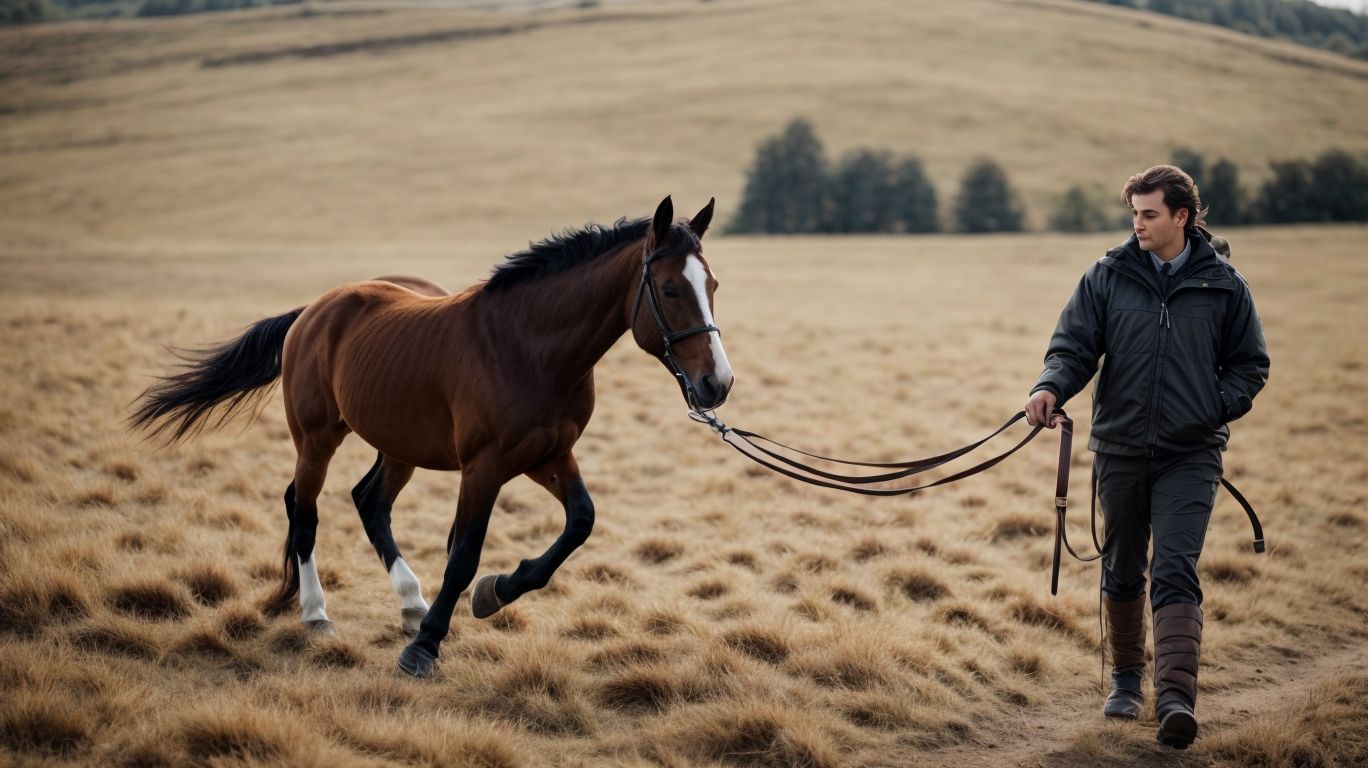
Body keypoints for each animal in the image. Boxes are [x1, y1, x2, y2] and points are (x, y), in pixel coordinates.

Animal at [130, 196, 733, 678]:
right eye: (670, 288)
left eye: (713, 285)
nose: (717, 383)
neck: (528, 347)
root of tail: (315, 311)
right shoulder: (485, 465)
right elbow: (463, 552)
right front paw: (425, 648)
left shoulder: (549, 454)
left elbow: (579, 523)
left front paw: (494, 592)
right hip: (318, 438)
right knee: (304, 512)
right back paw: (318, 614)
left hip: (400, 446)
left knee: (369, 502)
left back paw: (411, 601)